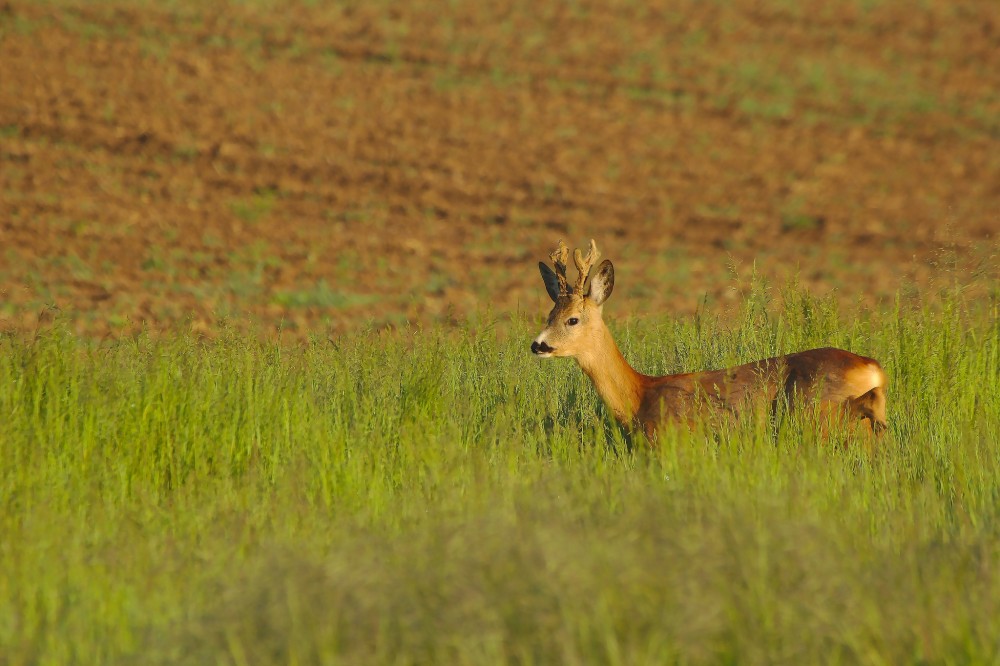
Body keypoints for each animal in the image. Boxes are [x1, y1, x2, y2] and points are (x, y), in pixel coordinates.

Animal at [532, 239, 892, 436]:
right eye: (549, 315)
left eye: (573, 319)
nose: (538, 345)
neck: (638, 395)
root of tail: (872, 366)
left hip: (819, 416)